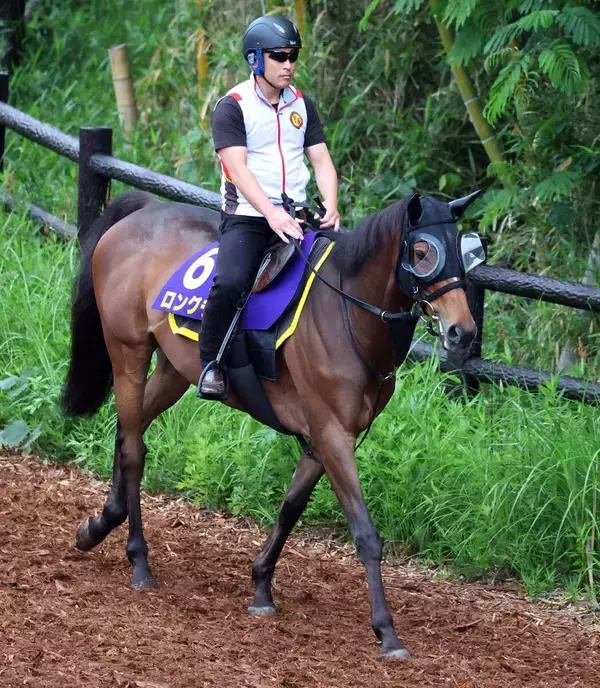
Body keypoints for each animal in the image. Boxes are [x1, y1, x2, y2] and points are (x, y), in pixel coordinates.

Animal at [62, 188, 481, 658]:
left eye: (466, 252)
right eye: (423, 252)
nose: (462, 332)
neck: (345, 310)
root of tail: (148, 209)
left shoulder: (322, 438)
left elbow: (290, 508)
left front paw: (262, 585)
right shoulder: (332, 434)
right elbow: (365, 533)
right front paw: (387, 631)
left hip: (174, 369)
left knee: (127, 430)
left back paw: (98, 525)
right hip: (128, 350)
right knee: (134, 450)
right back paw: (138, 560)